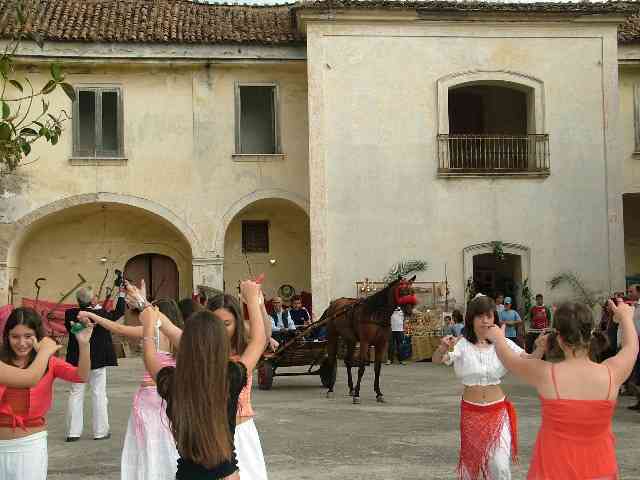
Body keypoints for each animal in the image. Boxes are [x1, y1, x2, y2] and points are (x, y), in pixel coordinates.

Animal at [322, 276, 418, 404]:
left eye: (412, 291)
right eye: (402, 291)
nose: (409, 311)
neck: (375, 313)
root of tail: (333, 304)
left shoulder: (381, 344)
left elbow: (377, 368)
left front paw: (378, 393)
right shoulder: (365, 342)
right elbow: (361, 368)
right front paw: (357, 394)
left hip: (350, 340)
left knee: (348, 361)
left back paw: (351, 388)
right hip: (332, 336)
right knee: (332, 360)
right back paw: (331, 389)